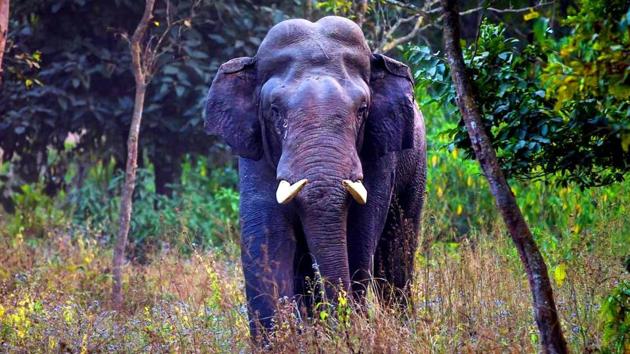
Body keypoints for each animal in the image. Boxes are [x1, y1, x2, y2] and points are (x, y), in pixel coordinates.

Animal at [205, 15, 428, 338]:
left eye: (362, 110)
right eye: (275, 111)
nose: (344, 323)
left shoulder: (380, 149)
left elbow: (360, 231)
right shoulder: (254, 153)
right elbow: (266, 236)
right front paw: (282, 341)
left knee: (396, 252)